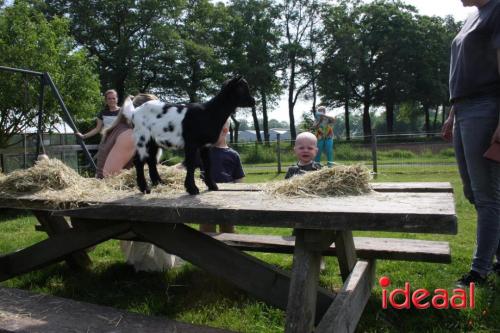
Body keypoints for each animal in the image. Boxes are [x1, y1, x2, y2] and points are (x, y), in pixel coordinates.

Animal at [121, 75, 254, 195]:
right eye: (241, 89)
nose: (253, 101)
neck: (209, 112)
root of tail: (134, 112)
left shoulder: (205, 145)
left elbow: (208, 164)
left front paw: (212, 186)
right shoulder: (191, 143)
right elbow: (191, 164)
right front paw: (192, 189)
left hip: (153, 141)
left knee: (151, 160)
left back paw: (159, 183)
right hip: (142, 137)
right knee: (139, 161)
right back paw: (145, 188)